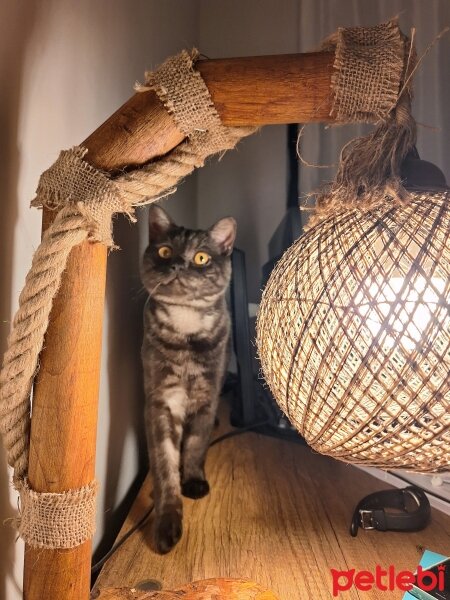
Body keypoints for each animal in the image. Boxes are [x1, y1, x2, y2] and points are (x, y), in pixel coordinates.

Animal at [142, 204, 237, 552]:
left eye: (201, 257)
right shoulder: (160, 403)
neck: (185, 326)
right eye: (165, 251)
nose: (179, 264)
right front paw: (167, 520)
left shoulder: (206, 398)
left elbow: (196, 445)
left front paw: (194, 480)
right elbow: (165, 464)